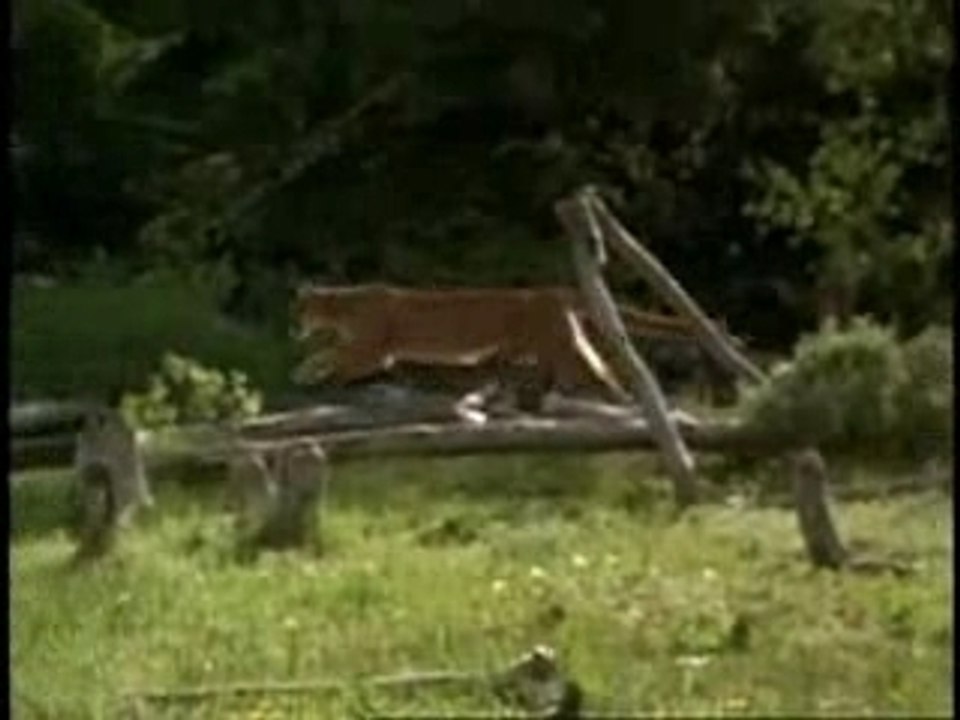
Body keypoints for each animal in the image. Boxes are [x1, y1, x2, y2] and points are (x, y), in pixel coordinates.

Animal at [292, 284, 718, 407]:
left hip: (561, 347)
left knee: (596, 372)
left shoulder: (375, 351)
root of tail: (553, 289)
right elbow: (330, 354)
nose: (293, 329)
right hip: (558, 346)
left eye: (300, 311)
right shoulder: (376, 353)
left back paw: (625, 402)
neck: (341, 307)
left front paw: (309, 375)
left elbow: (333, 356)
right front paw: (309, 371)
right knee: (593, 368)